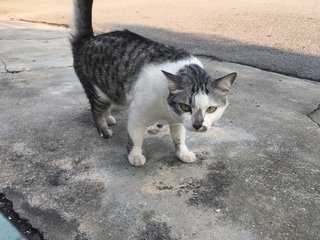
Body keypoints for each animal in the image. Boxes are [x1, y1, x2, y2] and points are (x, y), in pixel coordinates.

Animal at [70, 0, 236, 167]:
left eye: (211, 109)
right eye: (185, 106)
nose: (198, 125)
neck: (167, 109)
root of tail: (88, 40)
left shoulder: (177, 119)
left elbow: (179, 136)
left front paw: (182, 152)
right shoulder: (138, 112)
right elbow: (135, 137)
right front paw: (135, 155)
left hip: (110, 87)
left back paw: (108, 118)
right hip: (97, 91)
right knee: (96, 110)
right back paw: (103, 128)